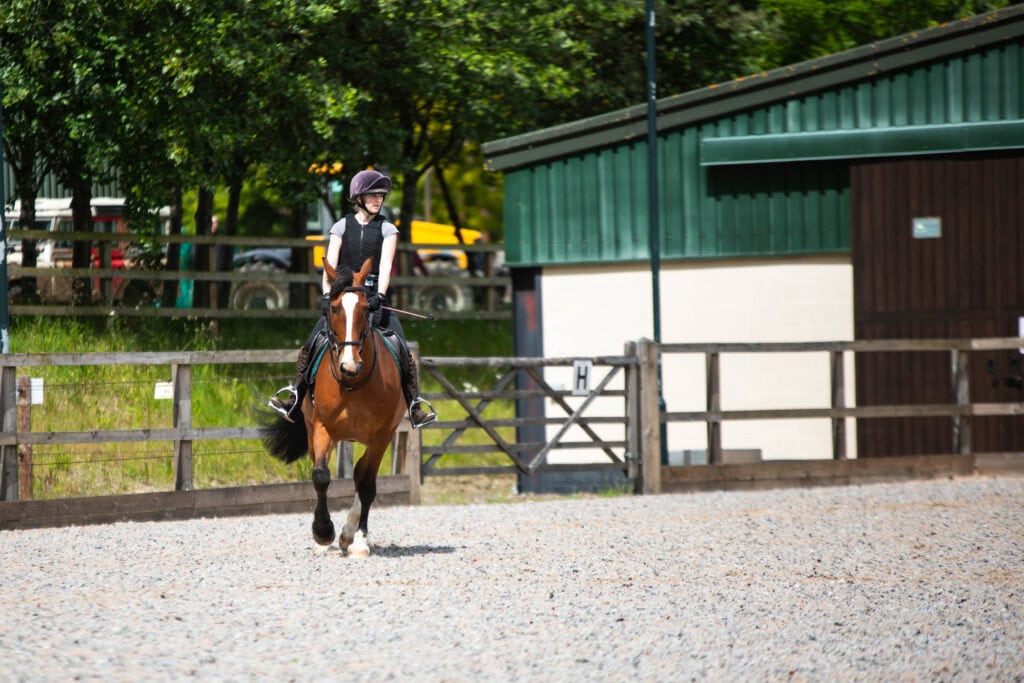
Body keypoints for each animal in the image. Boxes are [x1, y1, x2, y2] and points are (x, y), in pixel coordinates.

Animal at [261, 258, 406, 557]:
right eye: (334, 308)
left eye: (366, 308)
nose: (350, 365)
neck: (353, 383)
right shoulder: (321, 428)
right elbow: (320, 475)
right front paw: (322, 532)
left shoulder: (381, 436)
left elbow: (367, 486)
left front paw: (359, 541)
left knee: (362, 476)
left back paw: (351, 534)